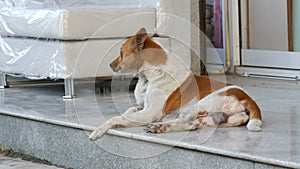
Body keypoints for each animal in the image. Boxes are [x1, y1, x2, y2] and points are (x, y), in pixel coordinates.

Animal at [88, 28, 262, 141]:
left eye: (121, 53)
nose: (110, 65)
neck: (149, 76)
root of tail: (248, 99)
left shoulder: (150, 113)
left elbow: (116, 118)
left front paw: (99, 130)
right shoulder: (142, 107)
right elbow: (127, 112)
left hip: (197, 106)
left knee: (184, 119)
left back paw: (158, 125)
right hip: (214, 119)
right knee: (191, 125)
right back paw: (161, 127)